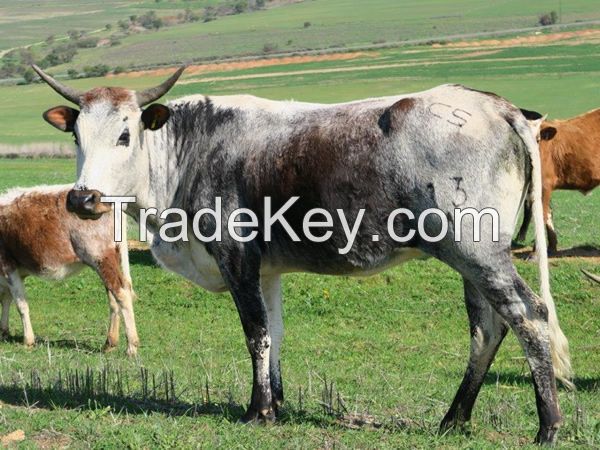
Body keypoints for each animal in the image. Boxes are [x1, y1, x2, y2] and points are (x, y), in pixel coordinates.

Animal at [0, 184, 138, 356]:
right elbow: (6, 300)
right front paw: (4, 331)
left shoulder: (8, 266)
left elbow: (21, 305)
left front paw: (28, 341)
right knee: (114, 298)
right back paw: (110, 343)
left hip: (100, 257)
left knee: (122, 293)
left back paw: (131, 347)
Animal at [34, 65, 572, 444]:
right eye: (77, 136)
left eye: (125, 135)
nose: (82, 199)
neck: (189, 153)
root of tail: (495, 106)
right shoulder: (266, 270)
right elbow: (274, 331)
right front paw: (276, 403)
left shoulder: (236, 257)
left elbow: (255, 333)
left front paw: (257, 411)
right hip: (470, 259)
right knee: (487, 328)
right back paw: (454, 419)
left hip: (477, 251)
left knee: (527, 315)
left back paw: (547, 426)